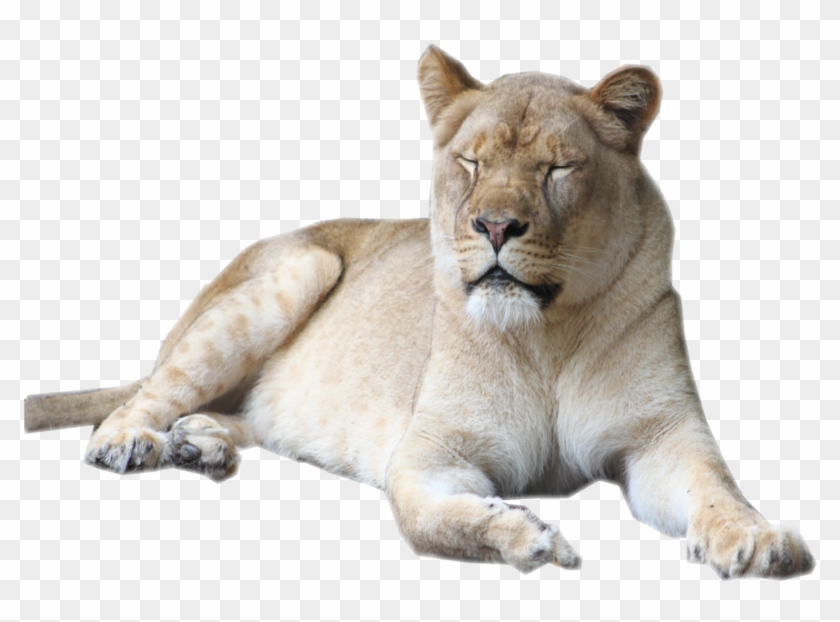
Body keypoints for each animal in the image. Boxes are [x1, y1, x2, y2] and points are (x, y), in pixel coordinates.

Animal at [24, 46, 814, 579]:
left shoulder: (661, 437)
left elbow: (716, 489)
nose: (494, 225)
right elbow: (436, 522)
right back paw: (134, 441)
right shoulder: (430, 452)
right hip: (303, 267)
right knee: (140, 397)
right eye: (471, 162)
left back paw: (201, 443)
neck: (546, 335)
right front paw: (526, 535)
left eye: (557, 167)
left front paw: (755, 538)